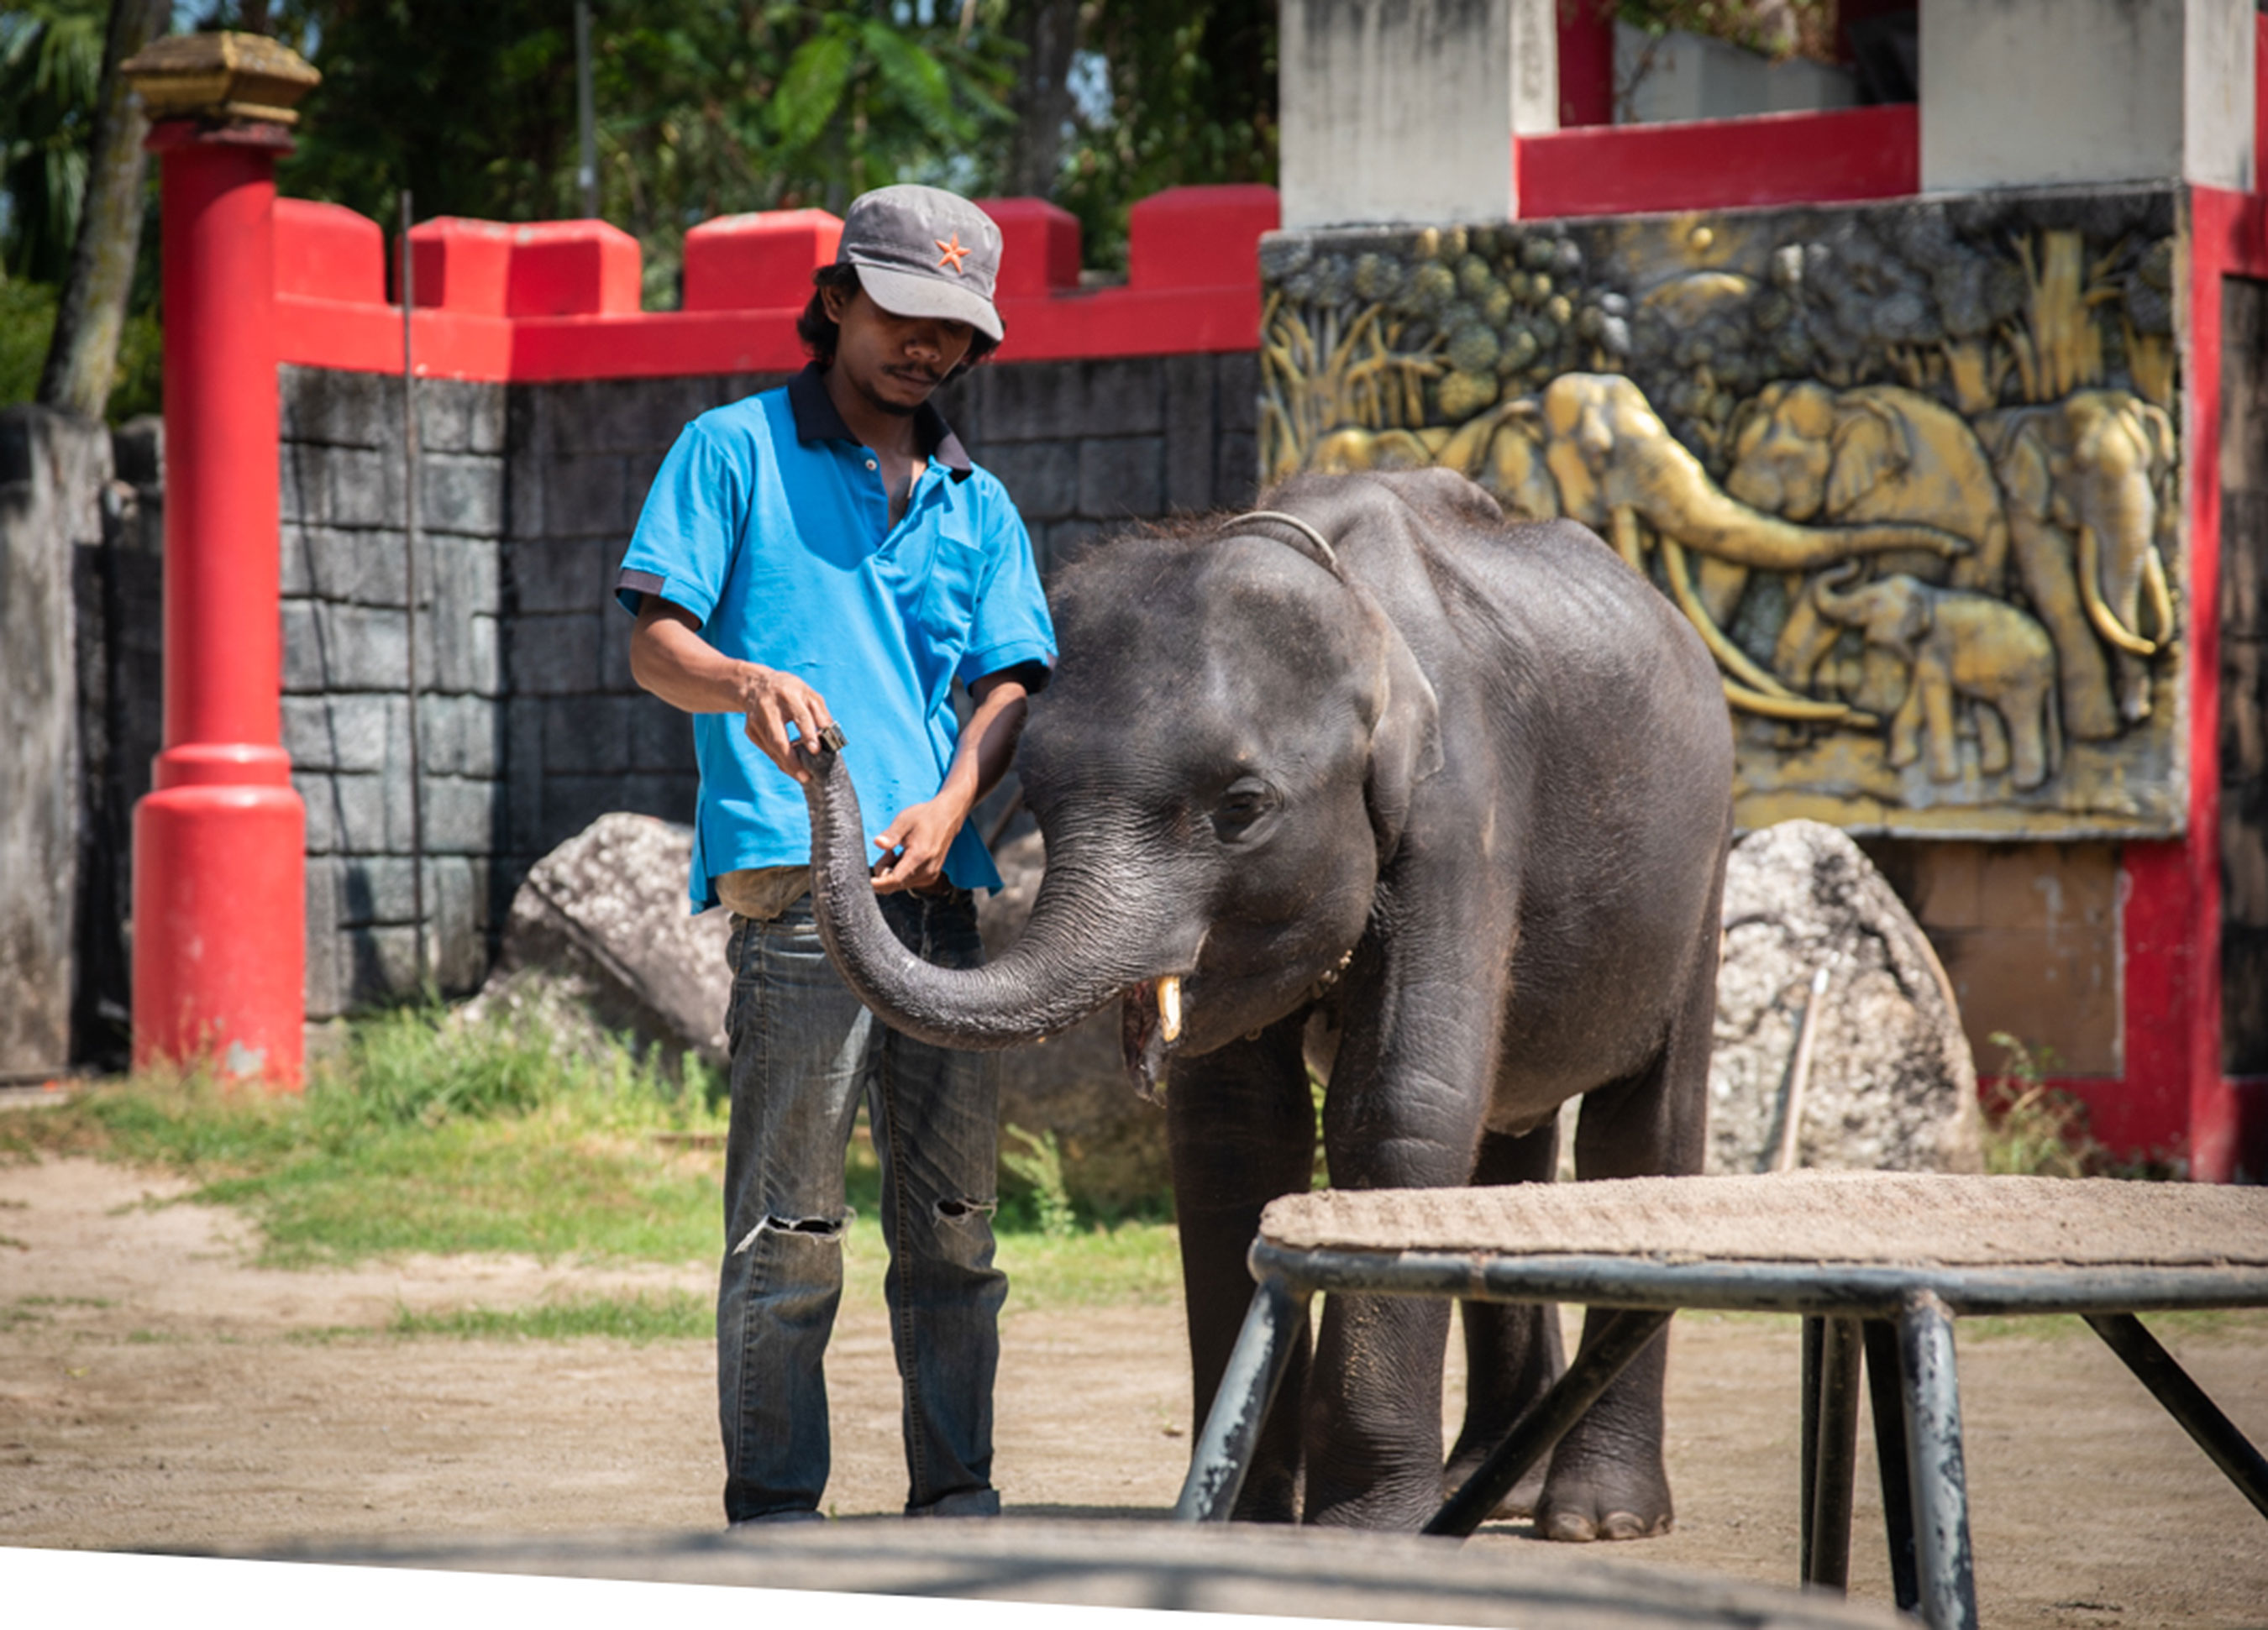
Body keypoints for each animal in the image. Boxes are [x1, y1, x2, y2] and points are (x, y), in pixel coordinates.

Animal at [1814, 571, 2068, 793]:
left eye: (1874, 601)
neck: (1927, 593)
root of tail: (2053, 661)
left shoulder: (1934, 644)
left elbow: (1933, 690)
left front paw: (1943, 778)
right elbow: (1919, 694)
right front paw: (1902, 760)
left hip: (2023, 679)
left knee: (2019, 716)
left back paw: (2025, 784)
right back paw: (1995, 771)